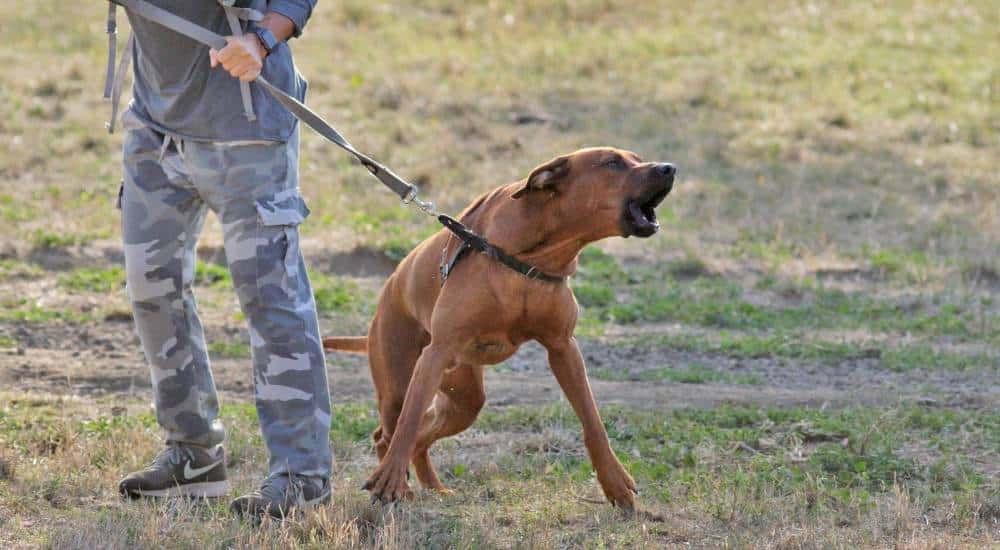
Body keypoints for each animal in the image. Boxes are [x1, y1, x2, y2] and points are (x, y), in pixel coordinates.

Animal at [324, 147, 676, 508]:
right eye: (612, 163)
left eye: (638, 159)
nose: (669, 168)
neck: (534, 256)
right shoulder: (436, 352)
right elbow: (407, 425)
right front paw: (389, 481)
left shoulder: (563, 347)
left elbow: (593, 421)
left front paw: (615, 483)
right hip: (400, 382)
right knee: (390, 432)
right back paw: (396, 483)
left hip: (463, 397)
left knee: (420, 437)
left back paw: (432, 488)